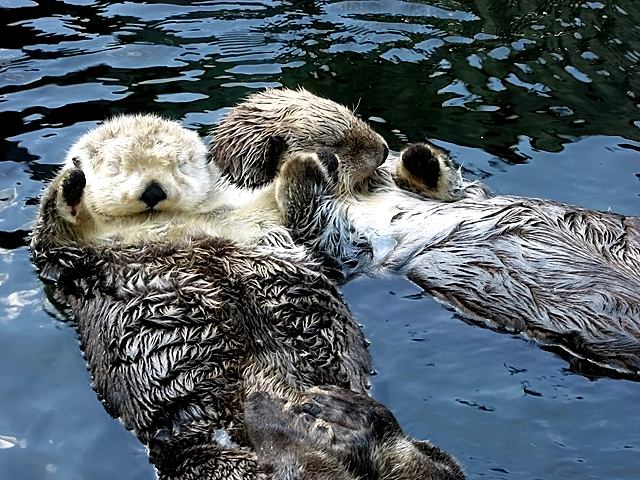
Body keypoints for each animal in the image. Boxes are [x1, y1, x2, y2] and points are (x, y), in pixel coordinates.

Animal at [30, 114, 465, 480]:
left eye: (179, 166)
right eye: (117, 167)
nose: (153, 190)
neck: (168, 222)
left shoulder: (260, 217)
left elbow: (297, 213)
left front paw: (308, 163)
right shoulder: (69, 260)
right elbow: (51, 234)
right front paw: (70, 184)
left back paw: (346, 420)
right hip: (207, 457)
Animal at [211, 88, 640, 379]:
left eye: (351, 114)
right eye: (335, 143)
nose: (384, 149)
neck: (362, 192)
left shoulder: (444, 192)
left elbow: (446, 184)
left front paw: (418, 156)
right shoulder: (344, 246)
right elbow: (323, 226)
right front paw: (302, 166)